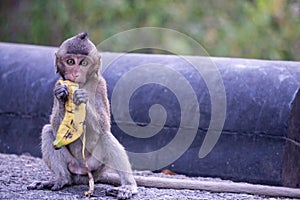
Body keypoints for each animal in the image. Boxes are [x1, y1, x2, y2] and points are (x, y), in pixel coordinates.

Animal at [27, 32, 138, 199]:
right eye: (70, 61)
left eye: (84, 63)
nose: (75, 73)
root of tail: (81, 173)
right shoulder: (58, 83)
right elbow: (55, 126)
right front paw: (62, 97)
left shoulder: (101, 84)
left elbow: (104, 125)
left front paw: (82, 99)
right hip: (72, 164)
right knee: (47, 131)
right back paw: (62, 179)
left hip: (95, 166)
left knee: (106, 136)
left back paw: (128, 186)